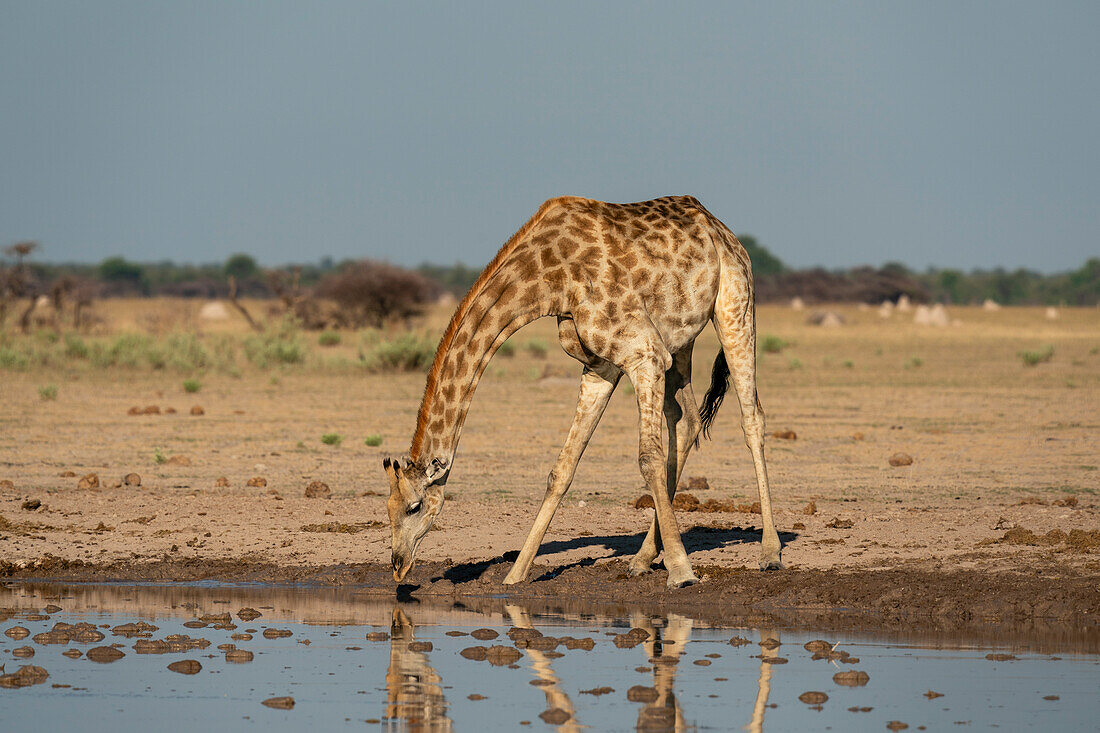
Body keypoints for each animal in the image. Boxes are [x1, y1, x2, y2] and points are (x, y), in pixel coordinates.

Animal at [387, 193, 783, 589]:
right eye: (387, 507)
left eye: (414, 506)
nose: (398, 565)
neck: (549, 282)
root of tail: (721, 229)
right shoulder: (600, 367)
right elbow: (562, 469)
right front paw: (515, 575)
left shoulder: (644, 354)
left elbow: (648, 458)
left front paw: (683, 572)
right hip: (681, 340)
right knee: (687, 422)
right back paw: (642, 559)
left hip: (735, 309)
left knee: (752, 418)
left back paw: (770, 552)